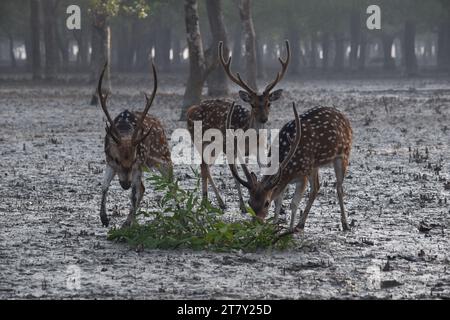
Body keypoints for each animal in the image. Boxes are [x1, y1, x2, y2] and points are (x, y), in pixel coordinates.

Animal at [97, 62, 173, 228]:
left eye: (133, 158)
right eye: (117, 159)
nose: (125, 184)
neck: (125, 129)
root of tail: (160, 123)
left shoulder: (138, 165)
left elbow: (133, 194)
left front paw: (128, 224)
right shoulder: (109, 161)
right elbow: (104, 186)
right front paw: (104, 218)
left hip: (164, 155)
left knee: (170, 181)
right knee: (142, 188)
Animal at [187, 40, 290, 212]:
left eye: (268, 103)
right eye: (253, 104)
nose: (264, 119)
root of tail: (190, 110)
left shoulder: (260, 149)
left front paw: (277, 206)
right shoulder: (231, 148)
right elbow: (237, 175)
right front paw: (242, 205)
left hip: (214, 147)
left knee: (206, 165)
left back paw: (216, 201)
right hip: (200, 140)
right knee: (203, 166)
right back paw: (211, 201)